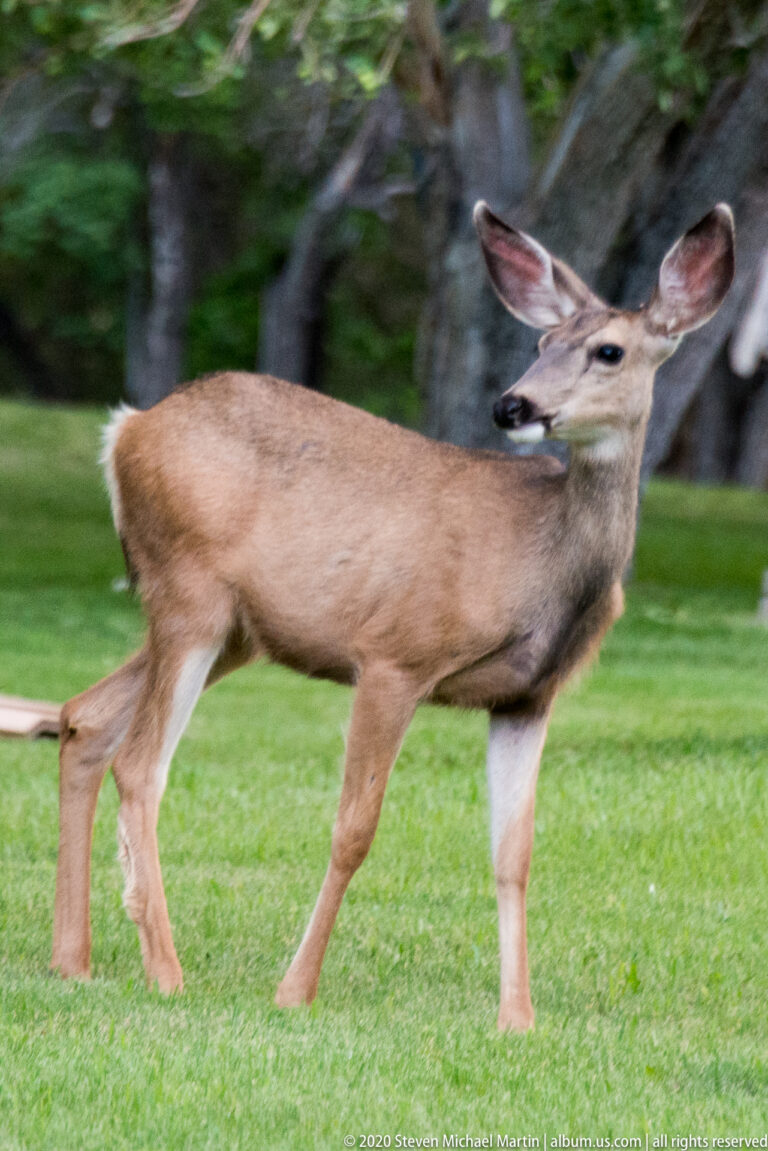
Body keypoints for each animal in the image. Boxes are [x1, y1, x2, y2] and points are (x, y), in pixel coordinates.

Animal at [51, 201, 734, 1031]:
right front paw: (295, 989)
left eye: (608, 350)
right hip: (191, 593)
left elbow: (514, 854)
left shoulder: (527, 697)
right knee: (141, 761)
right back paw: (165, 969)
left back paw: (73, 960)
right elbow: (354, 829)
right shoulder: (395, 653)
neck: (541, 561)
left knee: (87, 716)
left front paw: (518, 1017)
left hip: (232, 629)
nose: (513, 404)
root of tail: (124, 428)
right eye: (541, 342)